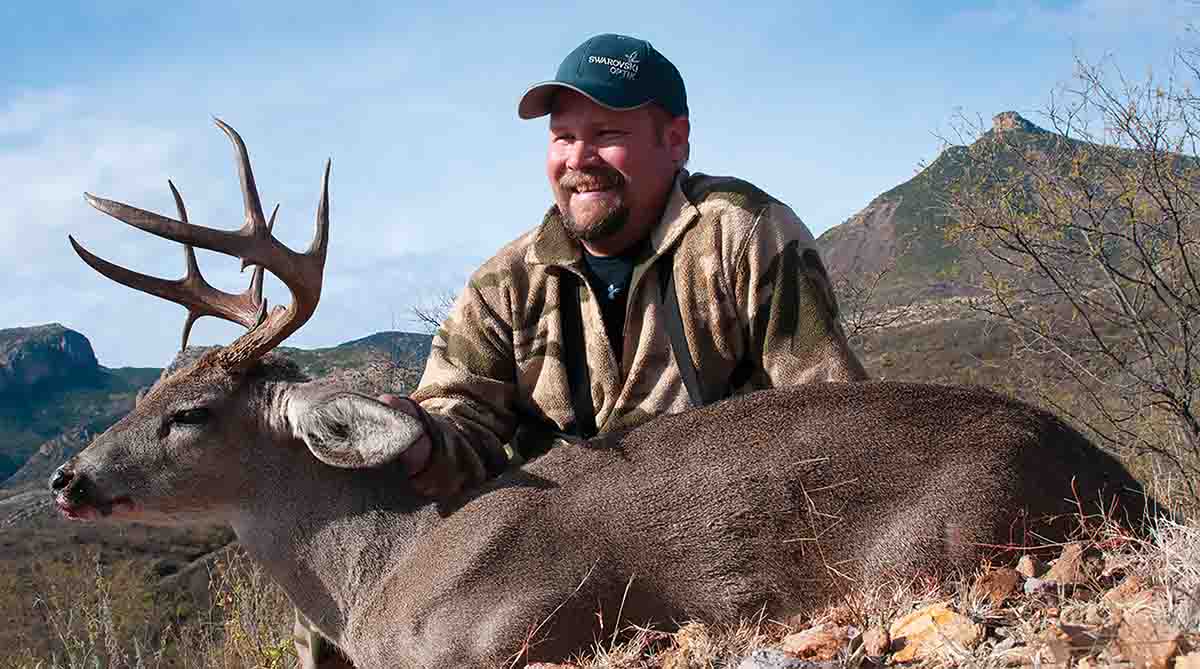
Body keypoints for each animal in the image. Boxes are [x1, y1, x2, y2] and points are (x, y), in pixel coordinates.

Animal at [51, 121, 1147, 669]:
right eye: (146, 393)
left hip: (941, 544)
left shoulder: (514, 627)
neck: (377, 576)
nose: (68, 478)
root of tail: (1120, 477)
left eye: (188, 415)